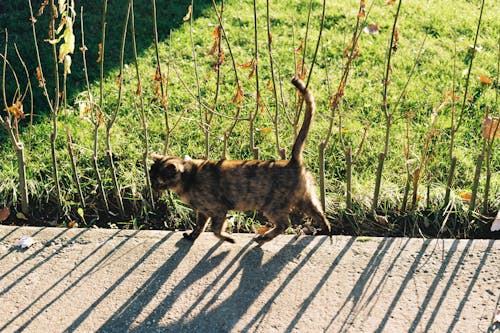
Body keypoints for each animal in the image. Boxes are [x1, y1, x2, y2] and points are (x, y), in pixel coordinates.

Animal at [151, 78, 332, 244]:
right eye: (151, 179)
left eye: (159, 182)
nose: (153, 188)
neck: (189, 178)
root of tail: (292, 162)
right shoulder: (203, 212)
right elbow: (200, 227)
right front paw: (192, 236)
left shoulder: (218, 209)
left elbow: (215, 229)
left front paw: (228, 238)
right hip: (305, 199)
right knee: (319, 214)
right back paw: (326, 231)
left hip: (273, 206)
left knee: (284, 224)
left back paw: (264, 237)